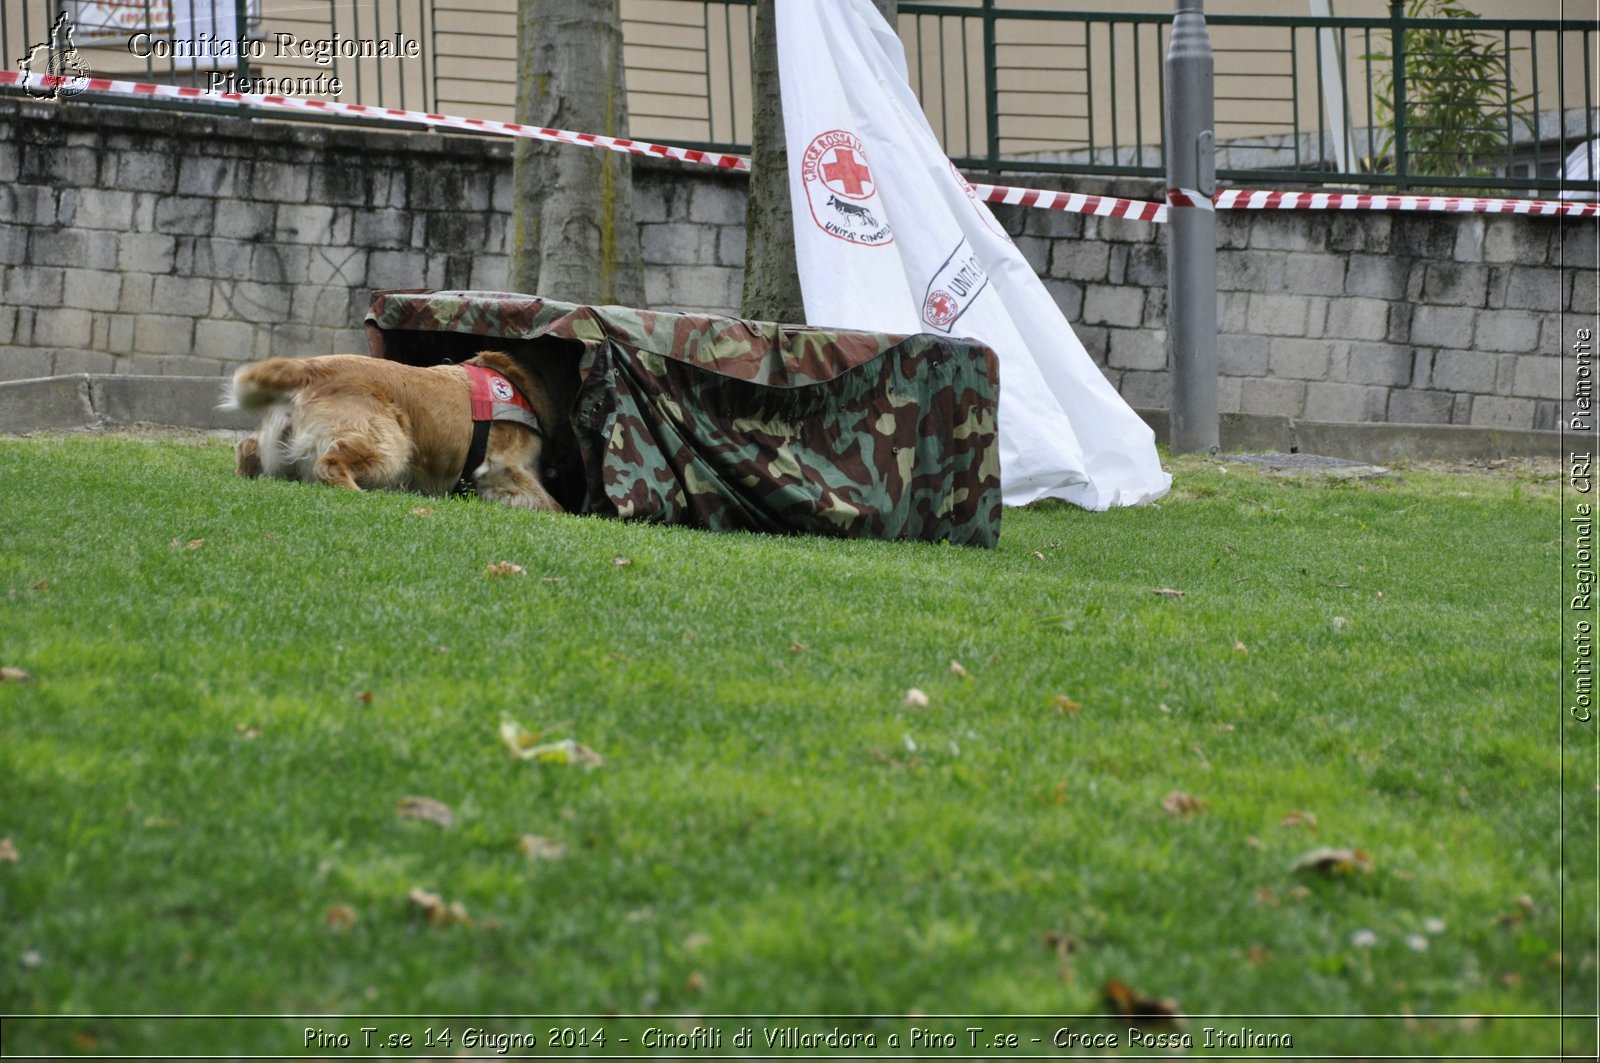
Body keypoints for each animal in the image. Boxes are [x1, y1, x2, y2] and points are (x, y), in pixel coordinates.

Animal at [225, 350, 563, 512]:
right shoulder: (508, 469)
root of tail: (308, 368)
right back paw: (363, 493)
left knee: (247, 448)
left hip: (276, 449)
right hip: (392, 444)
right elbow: (552, 504)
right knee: (328, 465)